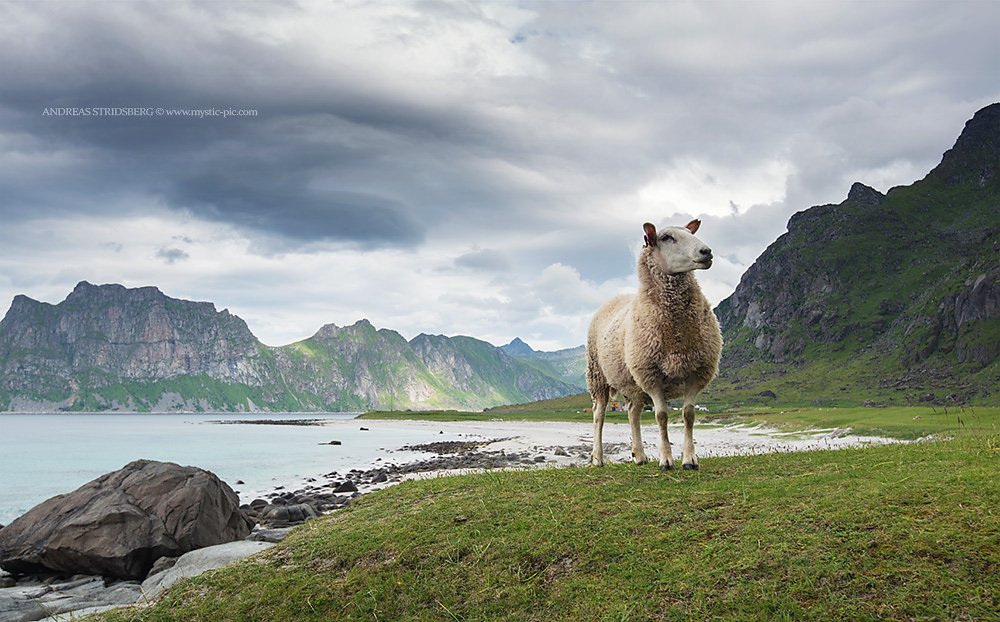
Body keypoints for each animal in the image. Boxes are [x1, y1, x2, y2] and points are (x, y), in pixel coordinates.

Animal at [584, 222, 724, 470]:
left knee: (633, 413)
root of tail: (616, 297)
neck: (676, 334)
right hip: (598, 376)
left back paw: (639, 455)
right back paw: (598, 458)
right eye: (667, 237)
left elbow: (688, 415)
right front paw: (666, 460)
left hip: (633, 384)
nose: (706, 252)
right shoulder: (651, 374)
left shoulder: (696, 371)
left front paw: (689, 459)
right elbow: (661, 416)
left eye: (691, 233)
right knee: (599, 415)